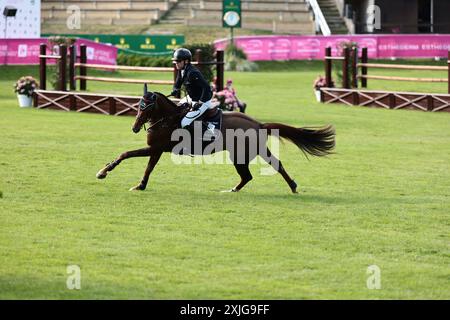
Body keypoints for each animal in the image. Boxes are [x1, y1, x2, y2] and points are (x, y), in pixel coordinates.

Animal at [96, 85, 334, 192]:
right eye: (138, 106)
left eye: (147, 107)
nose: (135, 127)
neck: (166, 119)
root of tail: (258, 123)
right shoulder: (157, 150)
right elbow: (139, 162)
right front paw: (135, 182)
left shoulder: (156, 149)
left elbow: (132, 157)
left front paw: (108, 173)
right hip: (253, 152)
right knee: (263, 170)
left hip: (241, 155)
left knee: (255, 173)